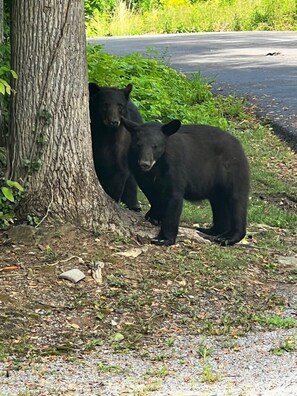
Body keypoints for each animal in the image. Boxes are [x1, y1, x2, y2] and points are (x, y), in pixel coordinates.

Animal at [88, 82, 142, 212]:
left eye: (120, 106)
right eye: (105, 104)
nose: (114, 122)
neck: (107, 134)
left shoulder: (121, 145)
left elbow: (120, 171)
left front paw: (113, 200)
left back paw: (134, 205)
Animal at [121, 117, 249, 246]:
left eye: (155, 146)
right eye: (138, 145)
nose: (145, 163)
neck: (155, 167)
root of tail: (238, 143)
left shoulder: (175, 167)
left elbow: (174, 198)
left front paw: (163, 238)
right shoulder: (140, 173)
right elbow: (151, 193)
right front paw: (154, 216)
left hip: (233, 170)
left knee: (237, 200)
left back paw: (229, 237)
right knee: (219, 203)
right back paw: (212, 230)